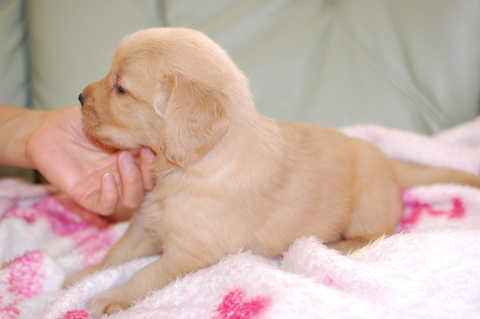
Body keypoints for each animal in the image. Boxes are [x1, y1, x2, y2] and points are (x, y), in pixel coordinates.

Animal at [65, 28, 480, 318]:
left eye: (121, 89)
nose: (80, 97)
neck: (191, 167)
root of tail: (389, 162)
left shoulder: (189, 254)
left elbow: (144, 275)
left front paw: (112, 296)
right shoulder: (143, 224)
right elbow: (116, 254)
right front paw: (83, 277)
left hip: (369, 202)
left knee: (375, 234)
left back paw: (337, 246)